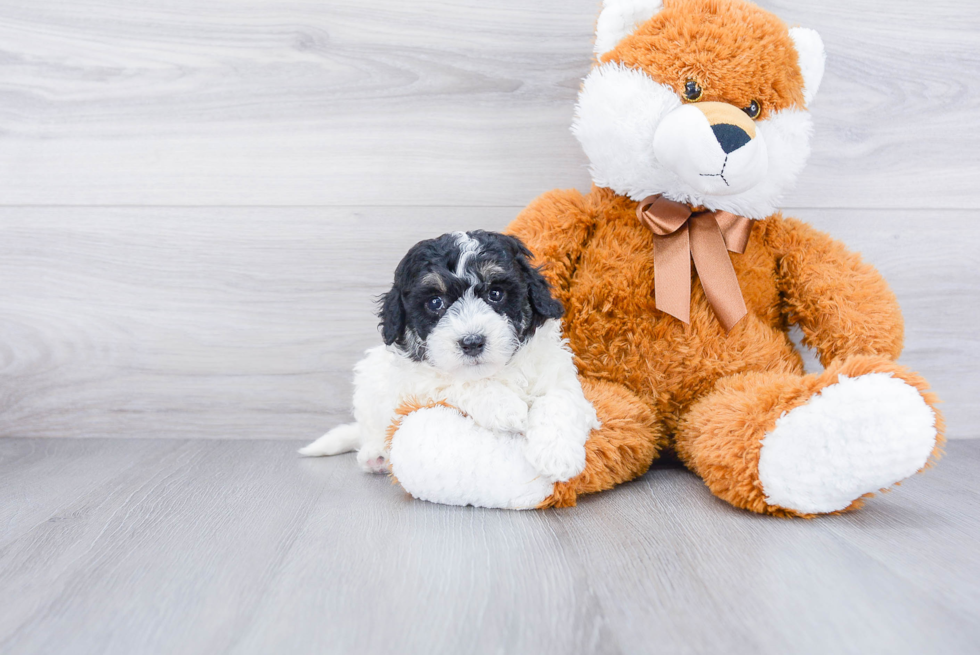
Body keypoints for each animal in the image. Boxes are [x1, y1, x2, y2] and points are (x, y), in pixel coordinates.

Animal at [298, 229, 596, 482]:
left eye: (495, 293)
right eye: (435, 302)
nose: (472, 342)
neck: (495, 371)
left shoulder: (555, 370)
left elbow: (559, 400)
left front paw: (558, 454)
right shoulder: (417, 382)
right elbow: (457, 382)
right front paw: (504, 406)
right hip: (370, 386)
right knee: (371, 429)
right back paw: (376, 455)